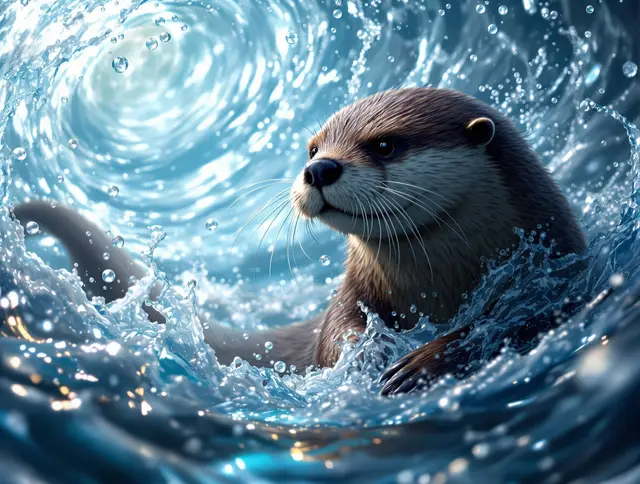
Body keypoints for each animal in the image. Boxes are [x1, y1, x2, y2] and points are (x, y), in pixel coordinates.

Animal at [12, 88, 586, 395]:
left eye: (385, 144)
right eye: (312, 146)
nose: (319, 168)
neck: (438, 286)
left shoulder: (558, 271)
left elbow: (518, 319)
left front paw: (422, 363)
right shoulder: (352, 290)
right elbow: (336, 331)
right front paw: (366, 350)